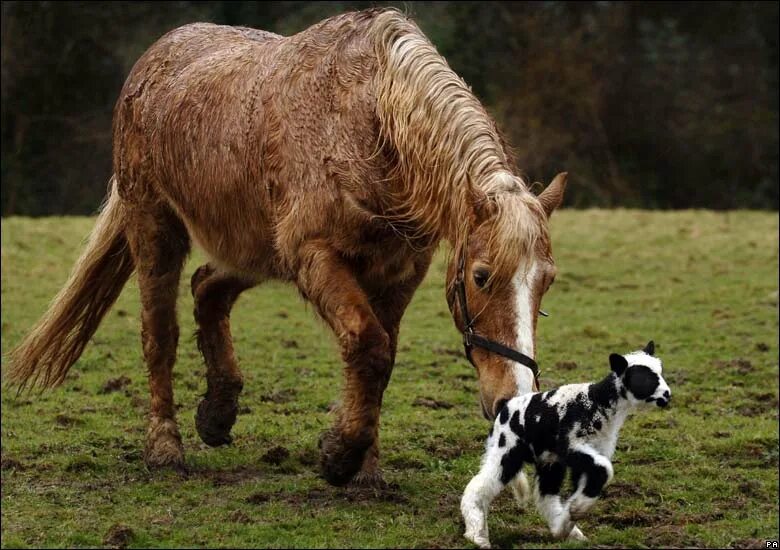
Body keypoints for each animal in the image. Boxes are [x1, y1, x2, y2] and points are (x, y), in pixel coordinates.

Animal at [7, 9, 568, 488]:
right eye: (481, 275)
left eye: (547, 282)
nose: (514, 399)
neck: (369, 122)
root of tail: (154, 58)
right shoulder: (316, 255)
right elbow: (368, 345)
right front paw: (340, 456)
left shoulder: (399, 271)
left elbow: (382, 359)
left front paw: (364, 465)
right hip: (155, 226)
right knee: (159, 334)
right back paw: (166, 447)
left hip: (256, 249)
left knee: (207, 288)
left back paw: (218, 412)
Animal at [464, 342, 672, 548]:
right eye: (644, 377)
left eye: (661, 371)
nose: (667, 395)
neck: (599, 403)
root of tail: (506, 406)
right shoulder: (570, 444)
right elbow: (605, 469)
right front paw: (577, 509)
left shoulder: (592, 453)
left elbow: (592, 478)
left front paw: (574, 511)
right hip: (506, 449)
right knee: (479, 486)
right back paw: (477, 535)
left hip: (549, 459)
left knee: (546, 495)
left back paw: (563, 530)